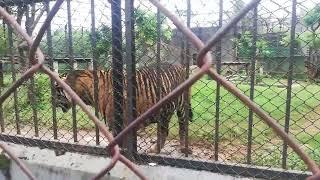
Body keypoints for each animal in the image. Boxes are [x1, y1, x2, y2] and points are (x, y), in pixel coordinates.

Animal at [55, 62, 192, 154]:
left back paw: (183, 148)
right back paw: (157, 149)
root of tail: (180, 66)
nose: (52, 101)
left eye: (56, 90)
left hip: (181, 106)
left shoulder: (118, 125)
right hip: (164, 113)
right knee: (165, 131)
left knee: (183, 126)